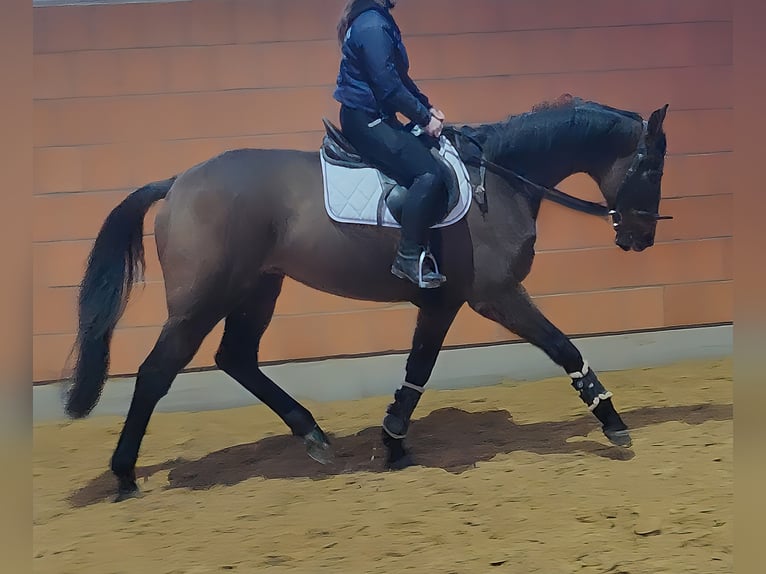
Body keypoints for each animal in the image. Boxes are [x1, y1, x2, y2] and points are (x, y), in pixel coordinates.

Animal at [62, 94, 672, 501]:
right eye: (651, 167)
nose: (641, 237)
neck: (497, 181)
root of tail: (177, 182)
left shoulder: (442, 303)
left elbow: (417, 370)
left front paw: (394, 442)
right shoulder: (496, 295)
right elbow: (564, 347)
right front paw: (613, 423)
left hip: (259, 287)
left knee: (236, 357)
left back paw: (312, 434)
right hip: (202, 302)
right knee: (155, 374)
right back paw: (123, 474)